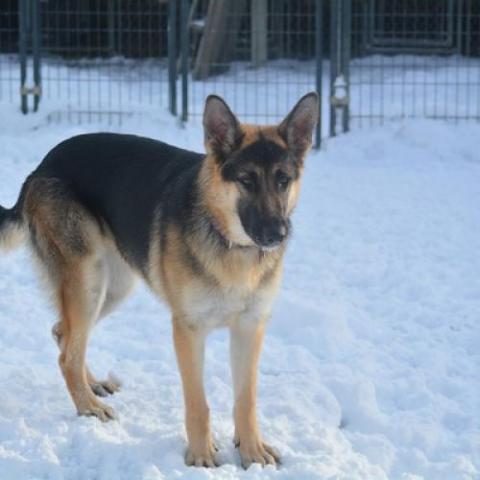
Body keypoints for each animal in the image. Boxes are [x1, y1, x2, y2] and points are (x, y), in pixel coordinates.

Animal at [0, 94, 318, 468]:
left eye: (283, 180)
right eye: (246, 180)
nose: (277, 234)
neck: (229, 243)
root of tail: (40, 167)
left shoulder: (249, 328)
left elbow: (246, 399)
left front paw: (252, 451)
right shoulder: (188, 330)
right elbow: (198, 403)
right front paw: (200, 456)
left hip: (114, 286)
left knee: (64, 334)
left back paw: (92, 385)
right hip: (88, 282)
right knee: (67, 355)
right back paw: (89, 407)